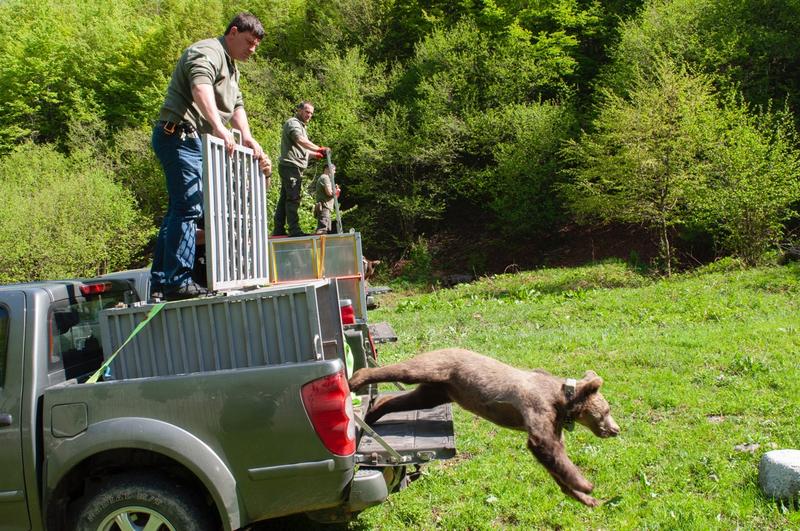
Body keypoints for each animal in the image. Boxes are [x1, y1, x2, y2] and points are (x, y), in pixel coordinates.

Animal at [348, 350, 620, 508]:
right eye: (606, 411)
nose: (615, 429)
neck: (562, 403)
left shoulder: (554, 424)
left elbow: (553, 461)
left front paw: (586, 498)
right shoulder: (537, 408)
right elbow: (544, 447)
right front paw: (586, 484)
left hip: (438, 391)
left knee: (407, 399)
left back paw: (373, 412)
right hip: (438, 367)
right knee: (405, 370)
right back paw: (356, 378)